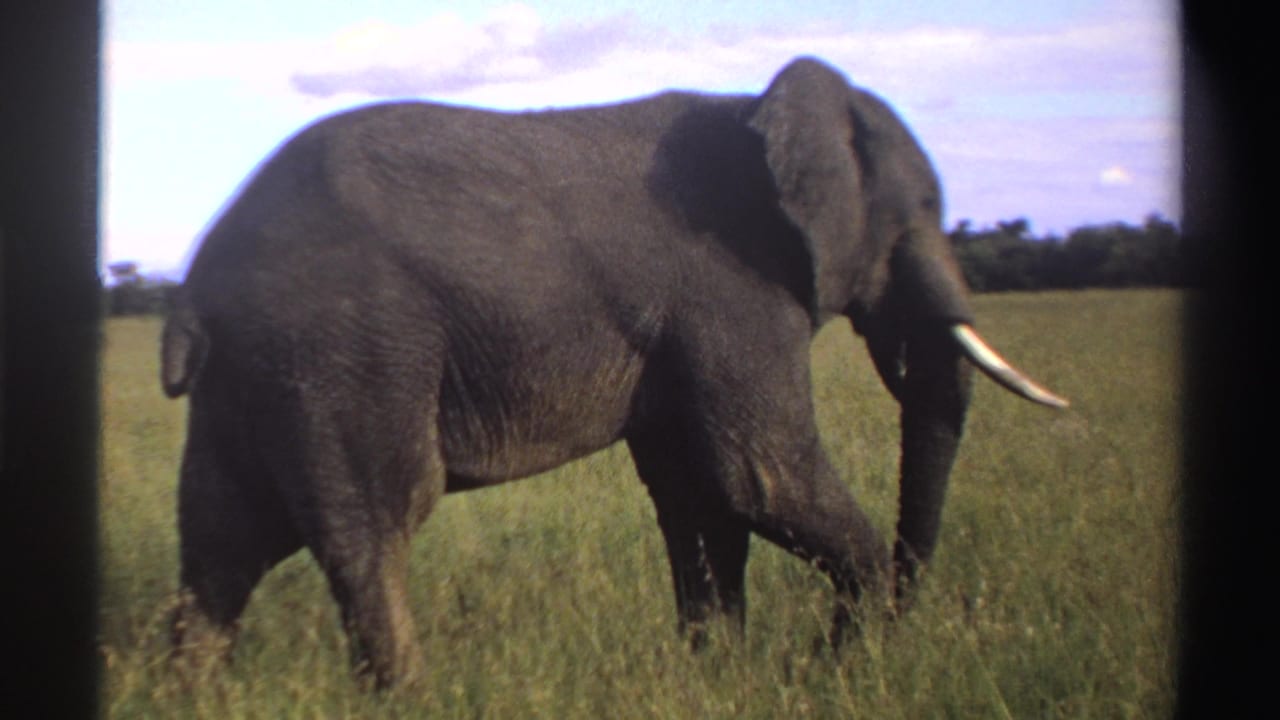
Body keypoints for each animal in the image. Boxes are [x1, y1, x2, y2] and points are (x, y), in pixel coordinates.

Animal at [161, 56, 1066, 688]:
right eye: (924, 213)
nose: (818, 661)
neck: (762, 106)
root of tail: (199, 280)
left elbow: (698, 495)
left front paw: (719, 677)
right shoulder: (729, 293)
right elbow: (761, 478)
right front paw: (827, 672)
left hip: (258, 371)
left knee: (220, 541)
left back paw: (196, 695)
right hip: (345, 351)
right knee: (373, 528)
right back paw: (409, 695)